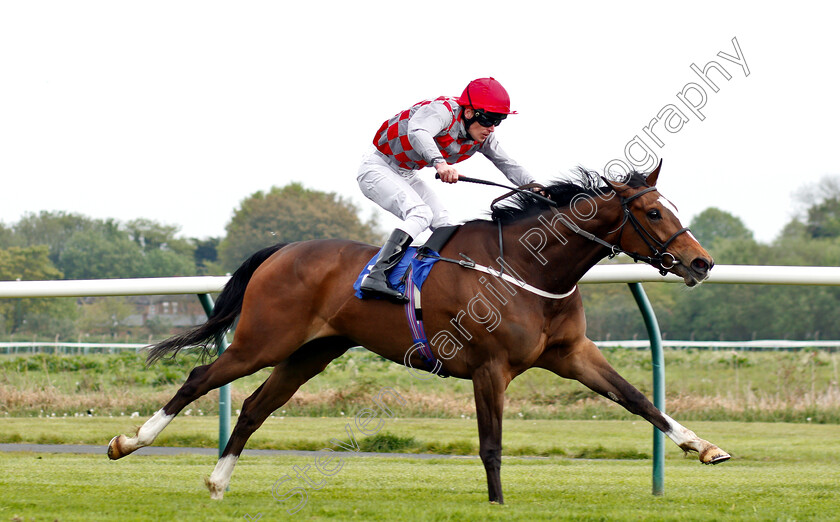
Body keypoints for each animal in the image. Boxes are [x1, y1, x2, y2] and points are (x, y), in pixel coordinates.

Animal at [110, 160, 728, 502]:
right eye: (653, 213)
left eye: (671, 207)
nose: (701, 263)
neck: (528, 268)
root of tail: (283, 249)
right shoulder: (490, 368)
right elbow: (490, 445)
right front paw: (498, 505)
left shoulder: (572, 353)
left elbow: (639, 400)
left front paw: (705, 447)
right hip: (264, 339)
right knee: (200, 377)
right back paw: (128, 442)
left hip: (311, 351)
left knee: (256, 406)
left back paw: (218, 482)